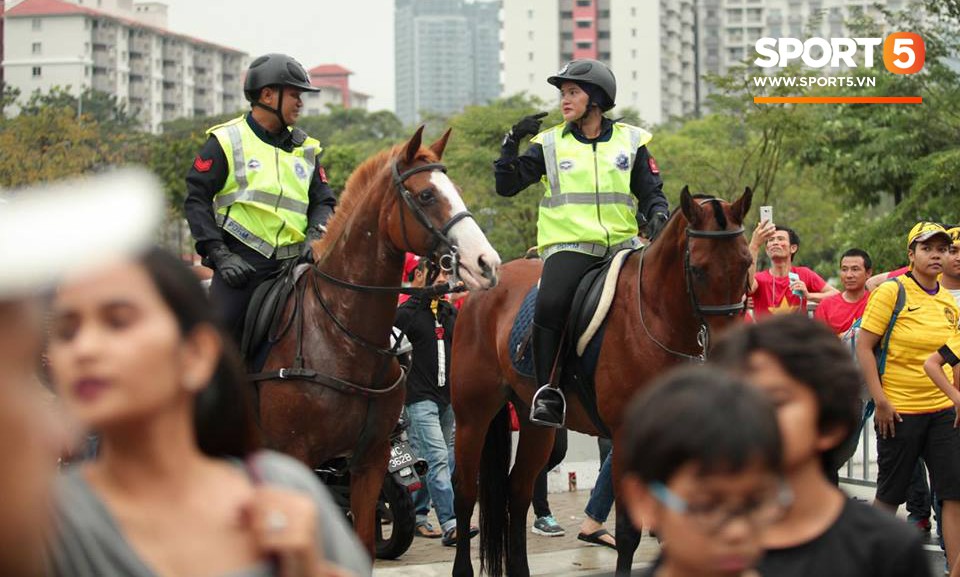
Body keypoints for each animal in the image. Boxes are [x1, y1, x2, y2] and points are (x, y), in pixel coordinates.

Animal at [255, 126, 498, 552]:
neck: (341, 336)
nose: (487, 263)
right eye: (426, 195)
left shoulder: (371, 459)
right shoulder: (295, 457)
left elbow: (365, 541)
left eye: (454, 189)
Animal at [452, 187, 756, 572]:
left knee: (518, 492)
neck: (656, 319)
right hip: (473, 416)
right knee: (465, 492)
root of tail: (486, 283)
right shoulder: (626, 437)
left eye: (746, 263)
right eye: (698, 270)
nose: (725, 349)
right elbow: (628, 531)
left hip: (536, 426)